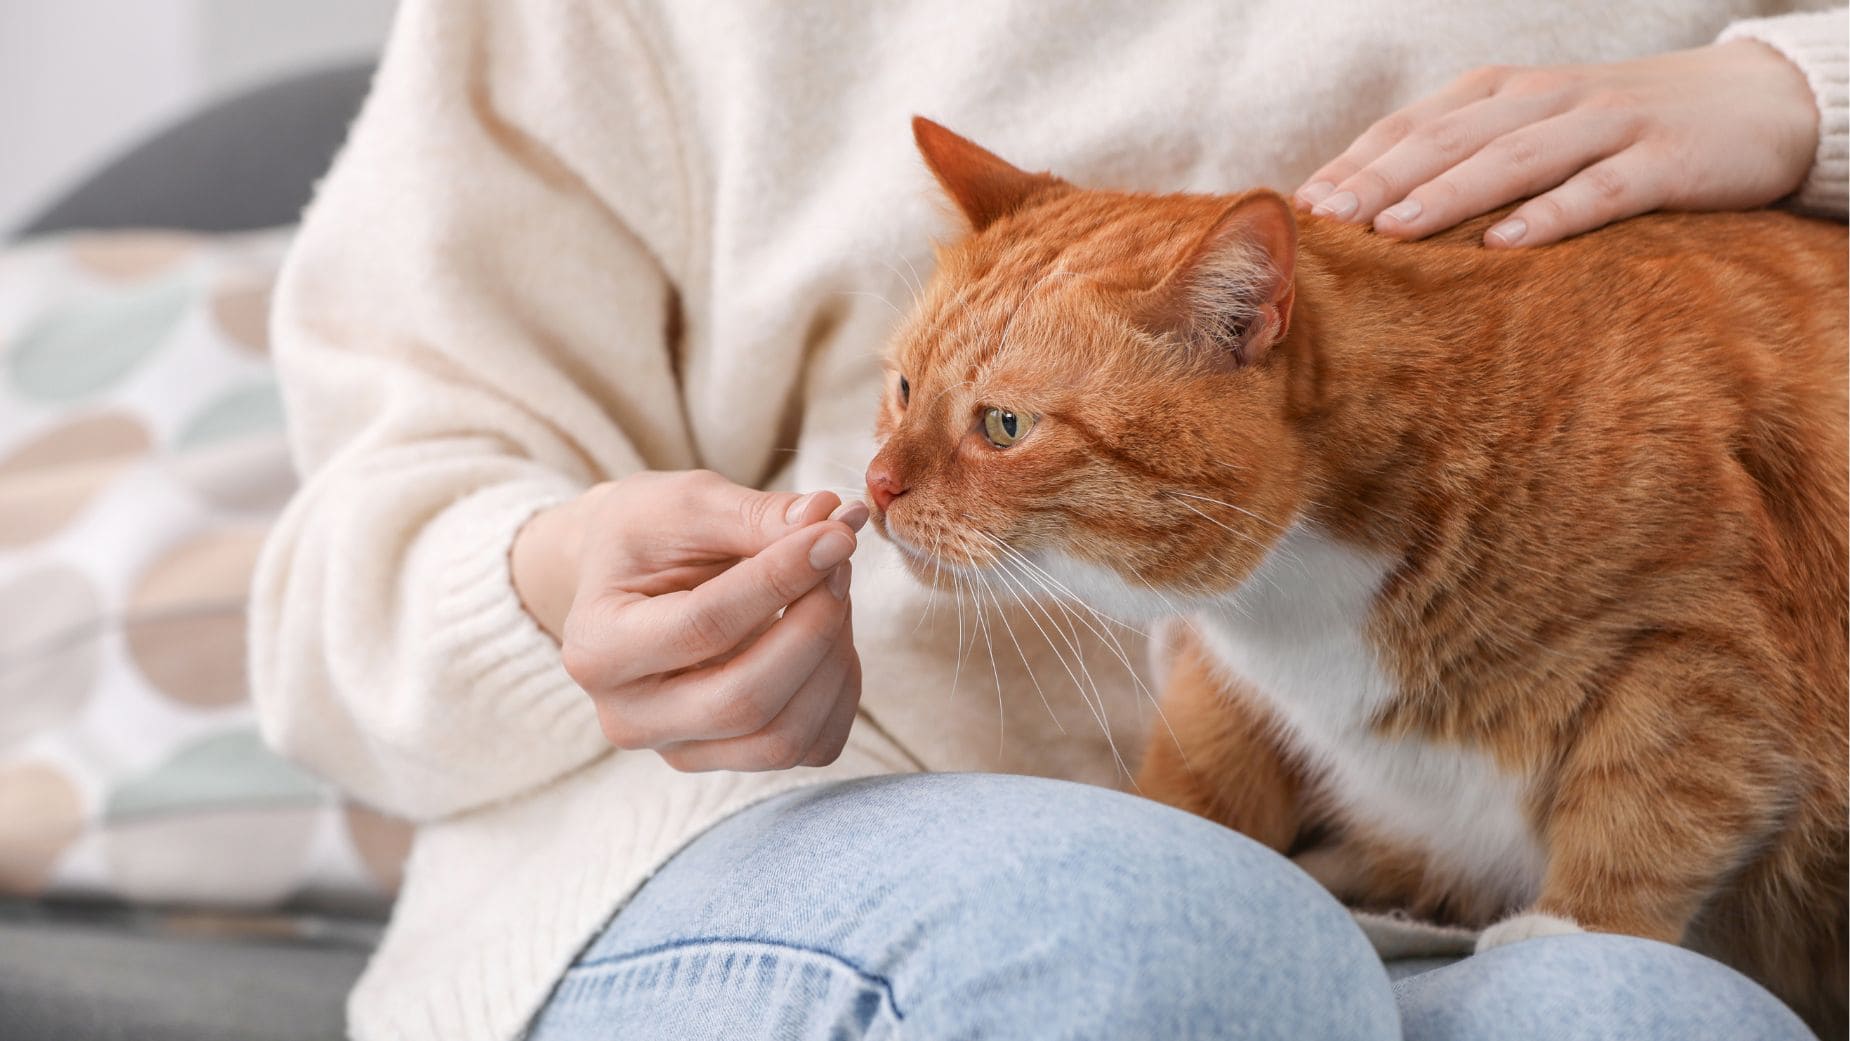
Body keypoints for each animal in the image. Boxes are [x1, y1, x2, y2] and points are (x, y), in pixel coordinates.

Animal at [869, 120, 1850, 1035]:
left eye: (1004, 426)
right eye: (906, 388)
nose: (876, 485)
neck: (1297, 598)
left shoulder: (1697, 638)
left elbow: (1656, 792)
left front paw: (1575, 925)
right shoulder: (1227, 682)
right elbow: (1202, 774)